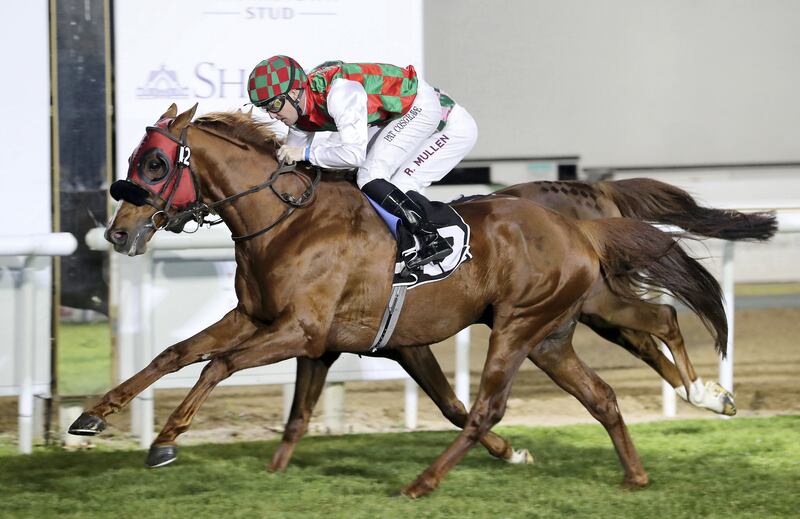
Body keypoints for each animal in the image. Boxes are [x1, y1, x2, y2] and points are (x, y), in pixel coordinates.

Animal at [72, 103, 728, 498]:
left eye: (156, 163)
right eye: (134, 161)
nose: (118, 235)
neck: (285, 222)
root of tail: (580, 228)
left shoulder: (301, 330)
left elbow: (219, 365)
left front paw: (164, 441)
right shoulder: (267, 320)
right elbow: (179, 355)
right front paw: (92, 416)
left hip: (522, 325)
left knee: (502, 401)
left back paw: (422, 482)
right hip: (552, 335)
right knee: (604, 391)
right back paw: (641, 469)